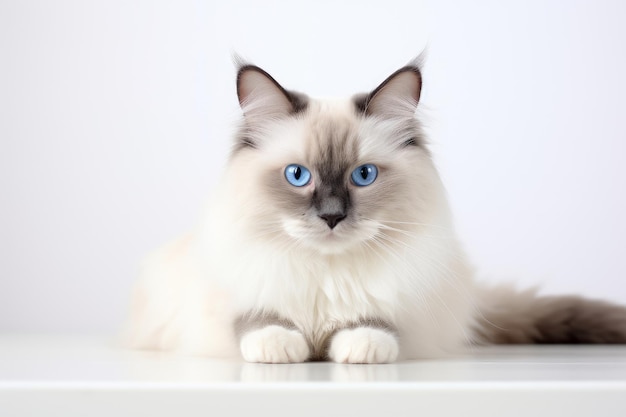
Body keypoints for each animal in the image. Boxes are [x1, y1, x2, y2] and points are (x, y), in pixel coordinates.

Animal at [124, 57, 624, 360]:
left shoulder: (408, 302)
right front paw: (283, 347)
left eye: (363, 176)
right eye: (297, 176)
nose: (331, 217)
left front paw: (359, 346)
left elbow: (376, 322)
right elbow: (257, 320)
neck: (327, 274)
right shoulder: (230, 297)